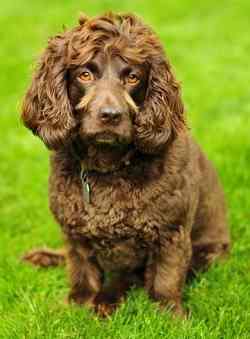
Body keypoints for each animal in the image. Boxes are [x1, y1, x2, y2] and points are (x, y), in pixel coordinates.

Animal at [22, 11, 230, 318]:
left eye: (132, 77)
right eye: (85, 74)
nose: (110, 115)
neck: (107, 168)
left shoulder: (170, 232)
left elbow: (165, 279)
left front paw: (171, 316)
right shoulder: (74, 232)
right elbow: (81, 270)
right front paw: (78, 303)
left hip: (209, 253)